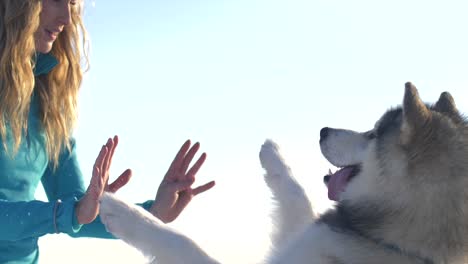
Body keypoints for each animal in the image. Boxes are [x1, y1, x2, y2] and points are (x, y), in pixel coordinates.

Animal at [98, 83, 468, 264]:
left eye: (373, 133)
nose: (322, 131)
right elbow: (298, 198)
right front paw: (274, 157)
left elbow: (181, 241)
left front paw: (124, 211)